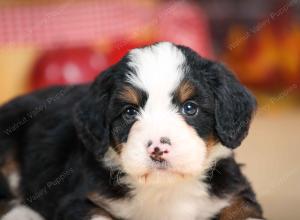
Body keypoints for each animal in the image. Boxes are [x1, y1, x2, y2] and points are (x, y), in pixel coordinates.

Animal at [0, 41, 262, 220]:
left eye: (190, 108)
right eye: (129, 112)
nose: (158, 148)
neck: (164, 189)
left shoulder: (233, 192)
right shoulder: (80, 198)